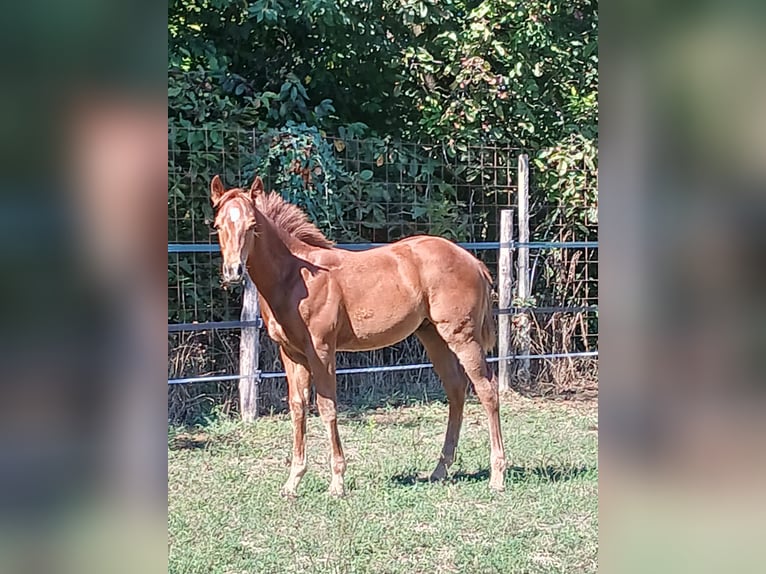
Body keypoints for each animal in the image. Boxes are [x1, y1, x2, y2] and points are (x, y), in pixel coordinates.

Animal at [210, 174, 507, 497]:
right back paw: (440, 470)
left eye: (252, 225)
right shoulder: (291, 353)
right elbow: (298, 407)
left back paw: (497, 476)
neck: (295, 279)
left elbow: (327, 407)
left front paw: (337, 482)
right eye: (218, 225)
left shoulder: (322, 350)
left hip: (462, 337)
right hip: (433, 336)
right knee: (456, 390)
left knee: (487, 391)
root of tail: (473, 262)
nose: (234, 271)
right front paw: (293, 482)